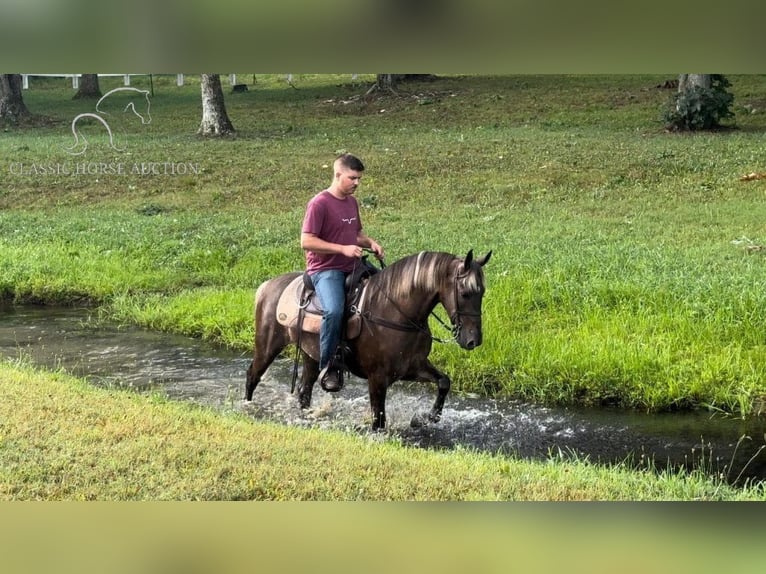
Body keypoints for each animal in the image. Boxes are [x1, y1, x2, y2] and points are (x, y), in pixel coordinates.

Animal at [249, 250, 496, 430]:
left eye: (482, 292)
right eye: (465, 293)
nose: (473, 340)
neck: (396, 312)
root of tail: (267, 286)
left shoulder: (412, 367)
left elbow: (444, 382)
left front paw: (427, 418)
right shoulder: (377, 378)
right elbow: (379, 420)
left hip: (311, 356)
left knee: (304, 390)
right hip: (268, 346)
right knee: (253, 375)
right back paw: (247, 407)